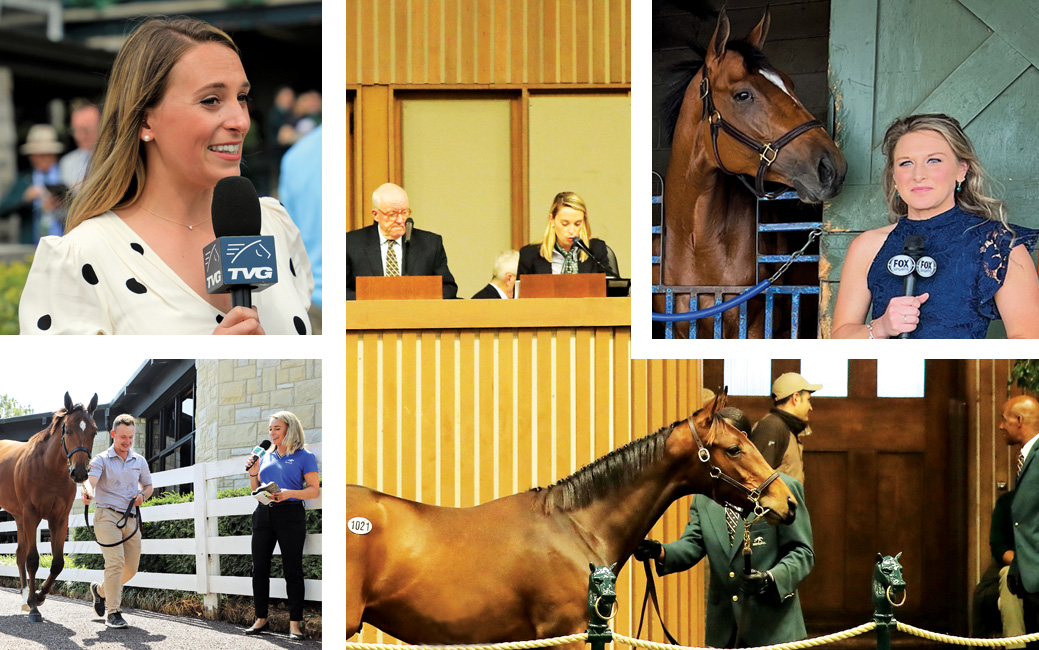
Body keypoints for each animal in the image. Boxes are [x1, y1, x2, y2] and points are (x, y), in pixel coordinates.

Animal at [0, 390, 97, 618]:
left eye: (94, 432)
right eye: (67, 430)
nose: (80, 473)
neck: (47, 469)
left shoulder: (59, 519)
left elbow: (57, 563)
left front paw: (38, 597)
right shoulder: (31, 515)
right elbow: (33, 560)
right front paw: (34, 608)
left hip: (18, 518)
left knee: (19, 554)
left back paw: (25, 598)